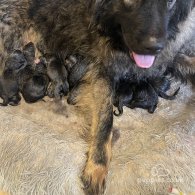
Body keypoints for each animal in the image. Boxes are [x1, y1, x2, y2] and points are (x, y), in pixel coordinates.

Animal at [0, 0, 195, 194]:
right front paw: (97, 166)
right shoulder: (101, 74)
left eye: (170, 2)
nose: (154, 47)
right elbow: (106, 121)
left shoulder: (170, 56)